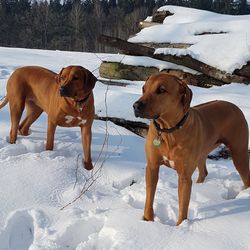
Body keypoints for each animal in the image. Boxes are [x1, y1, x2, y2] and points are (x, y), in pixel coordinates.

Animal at [134, 73, 250, 226]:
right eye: (143, 89)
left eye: (161, 90)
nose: (136, 106)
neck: (169, 130)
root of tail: (234, 105)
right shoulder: (152, 167)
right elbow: (149, 196)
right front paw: (147, 220)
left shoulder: (184, 176)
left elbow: (183, 205)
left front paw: (180, 226)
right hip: (202, 152)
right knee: (203, 171)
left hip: (239, 153)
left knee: (246, 177)